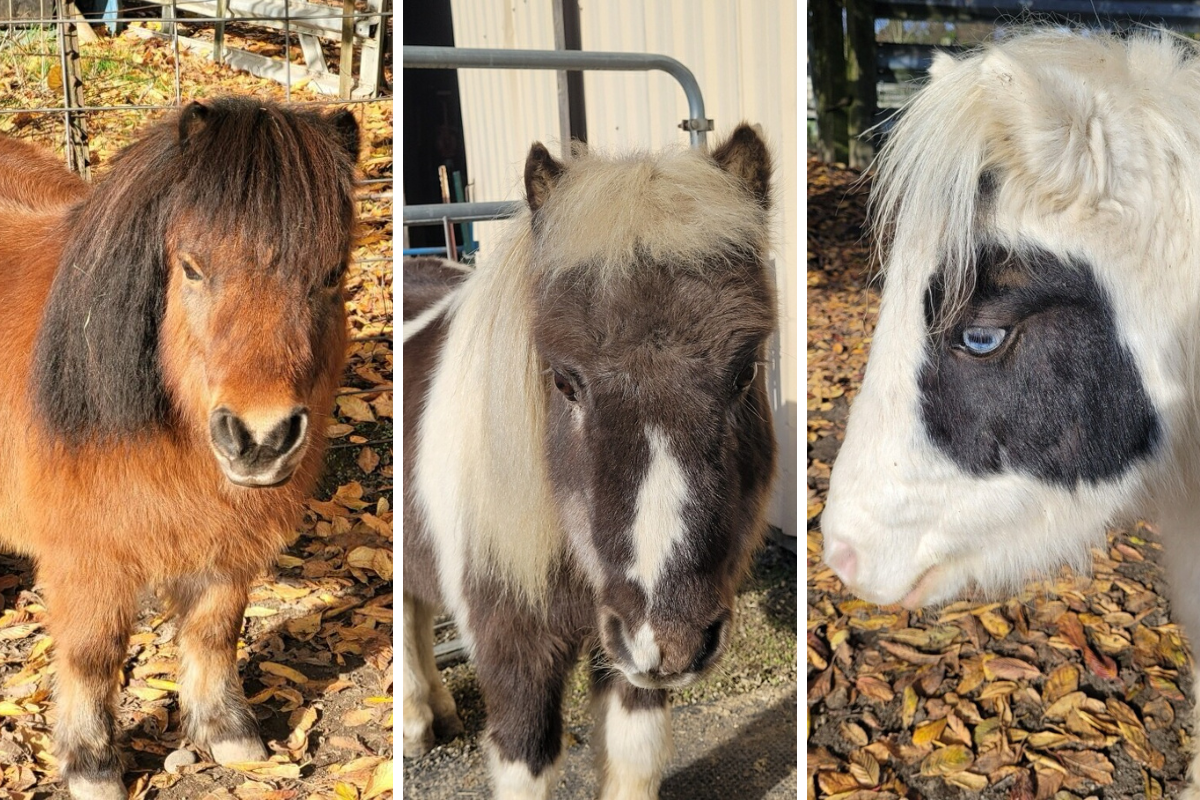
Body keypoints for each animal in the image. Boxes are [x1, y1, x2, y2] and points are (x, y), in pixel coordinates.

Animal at [0, 97, 359, 800]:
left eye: (331, 274)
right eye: (191, 268)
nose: (260, 440)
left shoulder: (227, 545)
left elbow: (215, 630)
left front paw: (227, 730)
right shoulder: (86, 561)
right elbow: (91, 654)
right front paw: (91, 764)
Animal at [403, 126, 777, 799]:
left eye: (745, 371)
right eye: (563, 380)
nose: (671, 637)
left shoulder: (626, 655)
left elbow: (633, 755)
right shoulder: (517, 652)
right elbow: (526, 763)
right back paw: (417, 724)